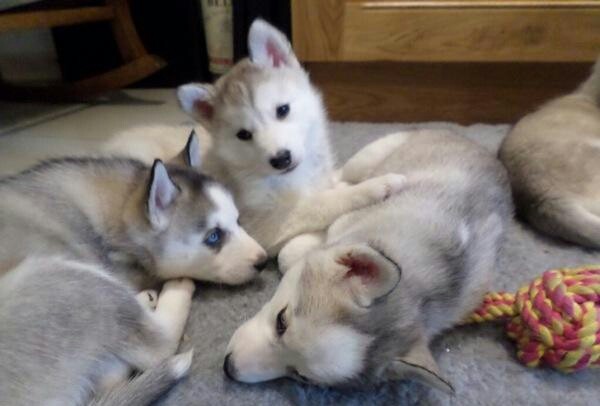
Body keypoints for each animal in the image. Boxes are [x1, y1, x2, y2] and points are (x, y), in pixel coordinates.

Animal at [0, 135, 264, 404]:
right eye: (213, 236)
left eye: (238, 220)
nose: (262, 261)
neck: (122, 201)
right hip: (67, 281)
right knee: (157, 347)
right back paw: (174, 289)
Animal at [103, 19, 406, 256]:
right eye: (243, 135)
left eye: (282, 110)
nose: (281, 159)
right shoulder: (264, 222)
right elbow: (321, 203)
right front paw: (377, 186)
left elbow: (330, 186)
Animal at [224, 130, 510, 390]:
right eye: (281, 321)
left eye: (300, 376)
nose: (229, 368)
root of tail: (481, 147)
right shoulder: (346, 224)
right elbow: (292, 252)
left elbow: (291, 254)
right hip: (371, 154)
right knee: (345, 174)